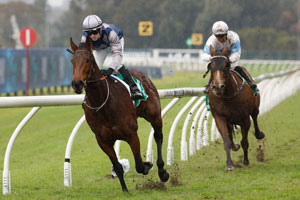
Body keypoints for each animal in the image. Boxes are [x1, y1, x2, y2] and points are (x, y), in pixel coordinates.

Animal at [69, 36, 170, 191]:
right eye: (72, 61)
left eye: (88, 59)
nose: (77, 84)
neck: (104, 103)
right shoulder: (103, 141)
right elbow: (117, 167)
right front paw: (125, 190)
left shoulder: (132, 134)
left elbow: (139, 165)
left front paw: (148, 164)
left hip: (155, 116)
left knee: (158, 136)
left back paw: (162, 171)